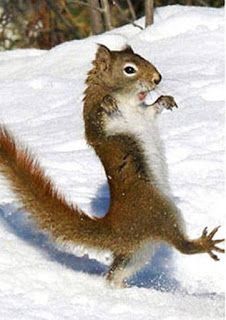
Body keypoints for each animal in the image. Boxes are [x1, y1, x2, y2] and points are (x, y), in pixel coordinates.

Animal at [0, 44, 224, 288]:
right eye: (129, 69)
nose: (157, 78)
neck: (128, 100)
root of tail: (116, 227)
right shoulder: (95, 125)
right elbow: (97, 121)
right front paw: (108, 102)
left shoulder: (144, 113)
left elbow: (153, 109)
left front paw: (165, 100)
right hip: (161, 212)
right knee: (180, 245)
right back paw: (204, 243)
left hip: (137, 253)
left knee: (116, 272)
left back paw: (119, 288)